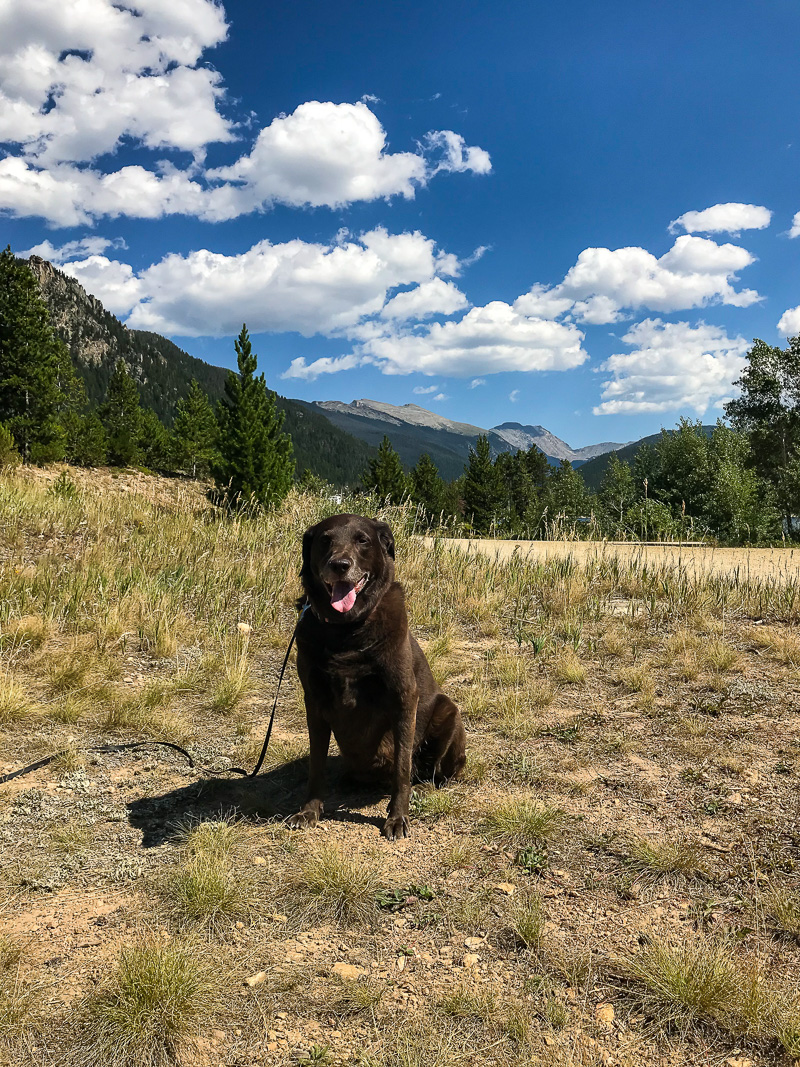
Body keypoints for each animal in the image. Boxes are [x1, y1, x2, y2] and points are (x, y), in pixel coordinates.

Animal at [288, 512, 467, 836]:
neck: (345, 630)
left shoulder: (403, 697)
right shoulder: (314, 701)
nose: (340, 565)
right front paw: (309, 811)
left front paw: (397, 817)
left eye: (362, 540)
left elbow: (401, 766)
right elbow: (316, 763)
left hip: (449, 712)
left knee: (435, 773)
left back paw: (423, 788)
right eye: (325, 540)